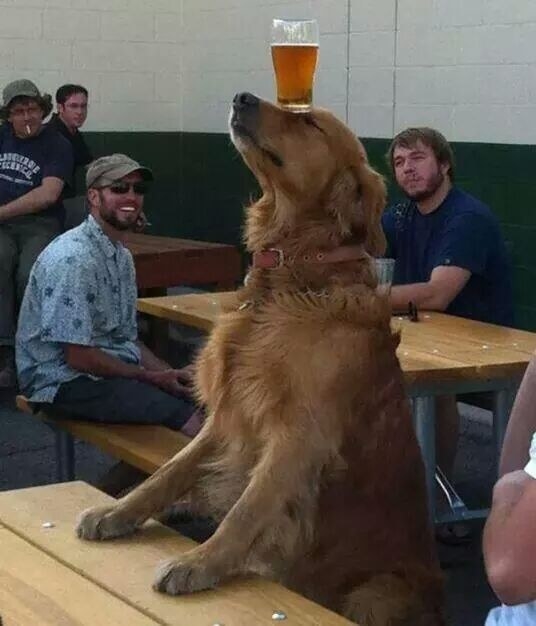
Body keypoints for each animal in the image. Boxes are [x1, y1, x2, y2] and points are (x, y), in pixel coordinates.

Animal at [75, 92, 444, 624]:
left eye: (309, 123)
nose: (241, 97)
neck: (291, 277)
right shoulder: (229, 415)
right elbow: (169, 470)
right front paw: (116, 512)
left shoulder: (298, 437)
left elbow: (245, 509)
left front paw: (198, 562)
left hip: (374, 595)